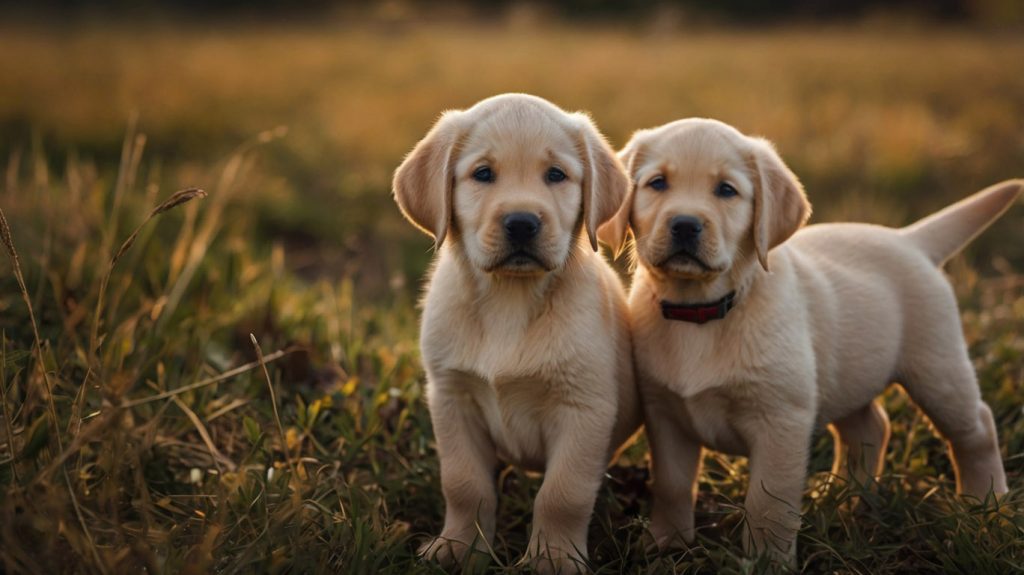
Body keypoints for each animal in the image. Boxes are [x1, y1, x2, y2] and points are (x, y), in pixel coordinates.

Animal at [391, 94, 638, 568]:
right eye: (483, 173)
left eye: (556, 175)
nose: (522, 222)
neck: (511, 298)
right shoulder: (452, 399)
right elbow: (464, 484)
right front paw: (457, 547)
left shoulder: (584, 409)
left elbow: (562, 495)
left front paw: (553, 559)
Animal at [598, 117, 1015, 564]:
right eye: (657, 183)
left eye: (726, 190)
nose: (685, 224)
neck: (703, 310)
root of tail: (909, 238)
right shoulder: (666, 415)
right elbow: (672, 486)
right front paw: (667, 546)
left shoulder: (782, 420)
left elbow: (768, 504)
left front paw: (766, 562)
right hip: (852, 372)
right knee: (869, 426)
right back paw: (842, 497)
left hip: (937, 367)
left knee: (976, 427)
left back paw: (984, 504)